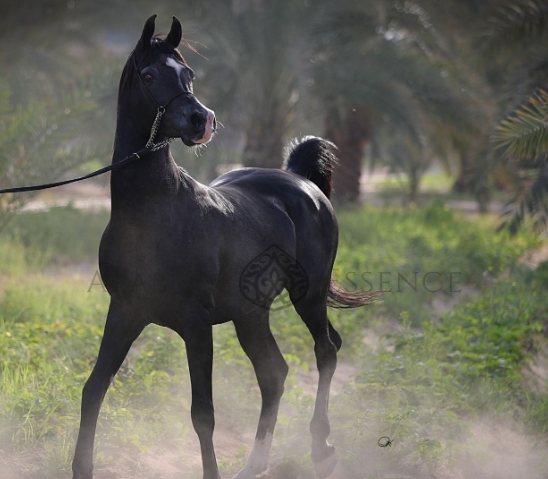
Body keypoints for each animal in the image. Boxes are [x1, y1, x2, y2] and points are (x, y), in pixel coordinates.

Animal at [70, 15, 374, 479]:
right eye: (149, 75)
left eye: (189, 73)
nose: (202, 120)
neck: (153, 215)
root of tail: (300, 180)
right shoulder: (124, 313)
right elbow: (94, 389)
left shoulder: (196, 324)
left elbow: (203, 415)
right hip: (251, 314)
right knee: (275, 372)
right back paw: (255, 464)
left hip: (308, 294)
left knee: (325, 351)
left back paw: (321, 447)